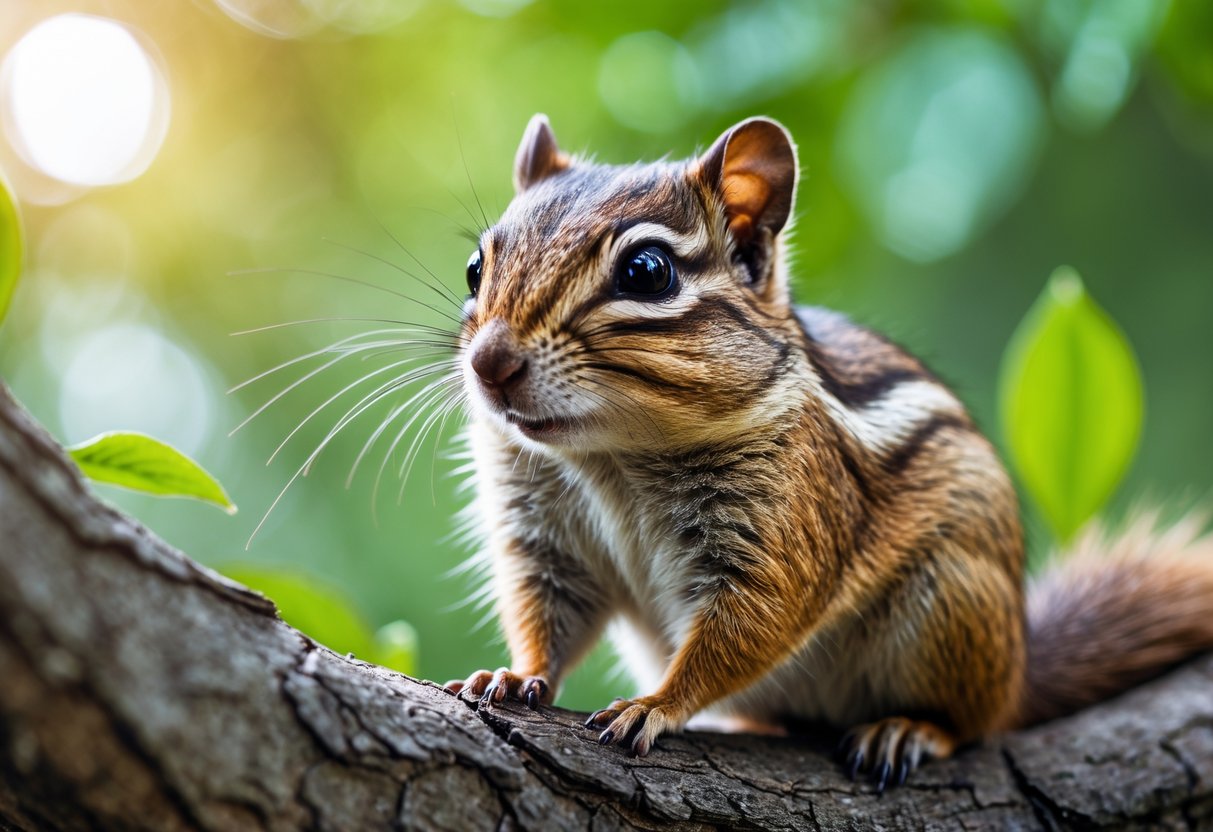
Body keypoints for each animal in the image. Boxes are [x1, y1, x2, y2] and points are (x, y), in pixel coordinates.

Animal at [441, 113, 1213, 790]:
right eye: (476, 266)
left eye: (647, 271)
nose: (489, 363)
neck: (611, 456)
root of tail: (1019, 664)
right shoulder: (541, 536)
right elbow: (545, 614)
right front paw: (513, 674)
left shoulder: (786, 525)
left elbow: (748, 627)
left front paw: (654, 704)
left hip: (950, 607)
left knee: (973, 723)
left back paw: (909, 729)